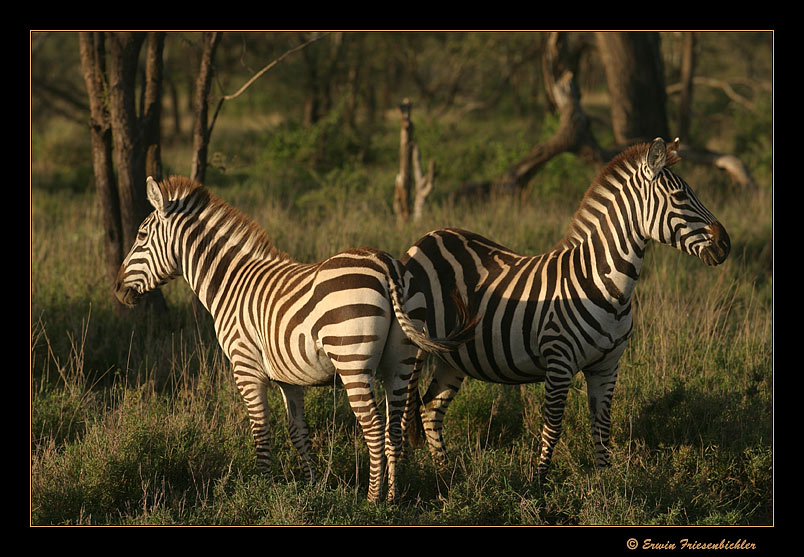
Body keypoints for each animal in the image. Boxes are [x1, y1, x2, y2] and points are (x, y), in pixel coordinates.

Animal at [116, 175, 474, 504]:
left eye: (141, 236)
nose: (118, 289)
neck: (230, 282)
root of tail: (386, 265)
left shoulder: (246, 367)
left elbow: (261, 430)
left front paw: (260, 488)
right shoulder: (289, 377)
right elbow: (298, 432)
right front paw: (314, 485)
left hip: (353, 363)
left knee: (372, 427)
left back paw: (373, 500)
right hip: (399, 361)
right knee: (394, 428)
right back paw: (393, 497)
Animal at [398, 137, 732, 476]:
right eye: (680, 197)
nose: (725, 244)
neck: (606, 283)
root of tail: (425, 238)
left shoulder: (606, 366)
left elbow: (602, 426)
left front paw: (605, 482)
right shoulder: (559, 362)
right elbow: (553, 428)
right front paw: (538, 483)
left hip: (453, 357)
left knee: (430, 410)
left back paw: (445, 474)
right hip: (413, 349)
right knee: (402, 413)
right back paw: (405, 478)